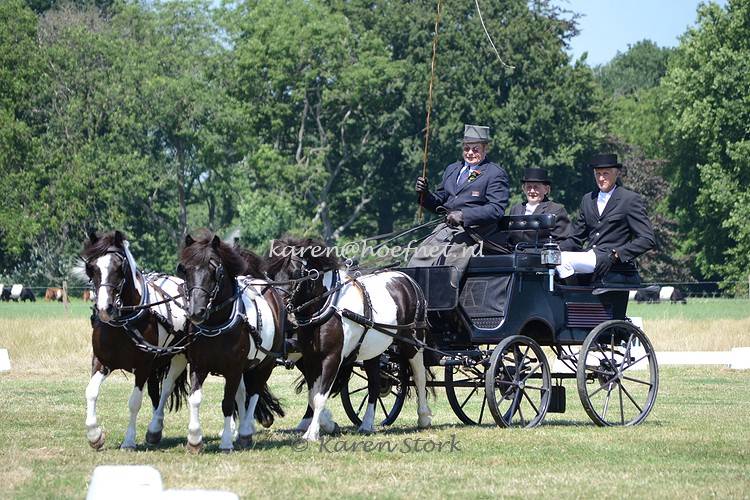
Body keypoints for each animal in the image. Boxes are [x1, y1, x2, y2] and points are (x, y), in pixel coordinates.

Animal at [81, 230, 189, 450]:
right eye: (92, 267)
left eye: (118, 267)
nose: (104, 309)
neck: (123, 323)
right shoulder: (102, 362)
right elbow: (91, 391)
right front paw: (95, 435)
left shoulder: (143, 366)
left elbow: (134, 402)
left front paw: (129, 440)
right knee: (156, 392)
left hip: (178, 357)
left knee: (166, 389)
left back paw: (154, 428)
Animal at [178, 232, 285, 452]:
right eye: (185, 269)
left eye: (214, 269)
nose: (196, 312)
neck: (216, 324)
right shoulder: (198, 366)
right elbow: (195, 399)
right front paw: (194, 440)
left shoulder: (233, 368)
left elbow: (227, 403)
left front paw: (226, 442)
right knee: (243, 394)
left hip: (265, 364)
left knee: (254, 393)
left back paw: (244, 433)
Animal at [266, 237, 433, 442]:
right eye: (271, 273)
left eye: (295, 273)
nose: (278, 306)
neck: (327, 305)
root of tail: (407, 279)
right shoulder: (310, 358)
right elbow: (312, 395)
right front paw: (324, 425)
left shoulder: (332, 358)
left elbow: (319, 397)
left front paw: (313, 433)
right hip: (373, 352)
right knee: (375, 385)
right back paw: (367, 424)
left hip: (412, 343)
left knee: (419, 376)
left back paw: (423, 417)